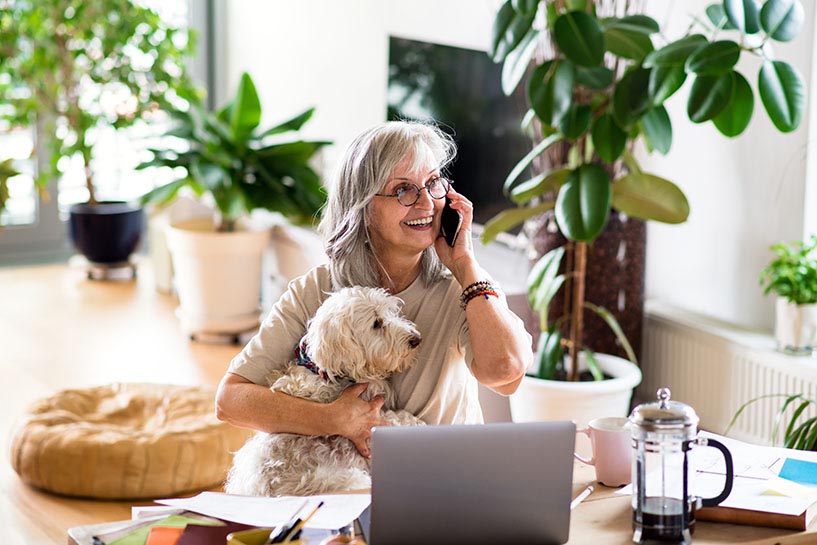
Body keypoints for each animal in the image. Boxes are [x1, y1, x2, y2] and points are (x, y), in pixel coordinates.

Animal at [225, 286, 424, 496]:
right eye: (377, 323)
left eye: (391, 313)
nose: (416, 339)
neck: (326, 372)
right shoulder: (369, 424)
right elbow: (396, 419)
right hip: (351, 479)